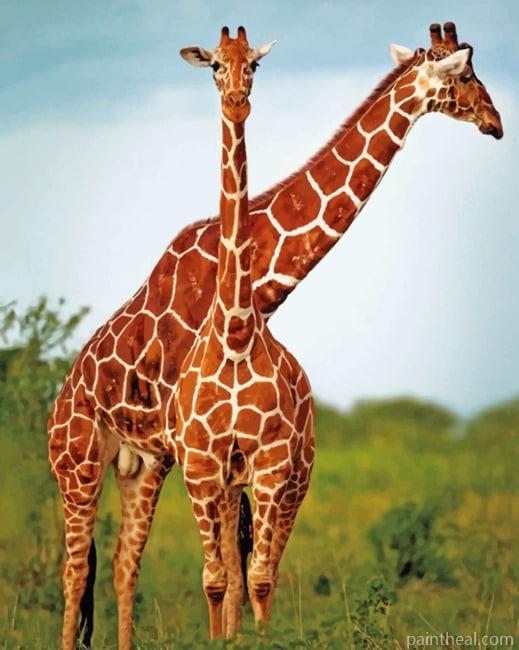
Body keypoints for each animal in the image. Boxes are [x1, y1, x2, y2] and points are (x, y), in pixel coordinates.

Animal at [47, 21, 502, 648]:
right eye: (465, 75)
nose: (496, 121)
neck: (258, 279)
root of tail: (63, 395)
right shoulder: (201, 450)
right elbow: (226, 571)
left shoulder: (222, 459)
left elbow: (238, 573)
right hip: (78, 462)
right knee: (75, 570)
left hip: (140, 464)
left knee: (119, 564)